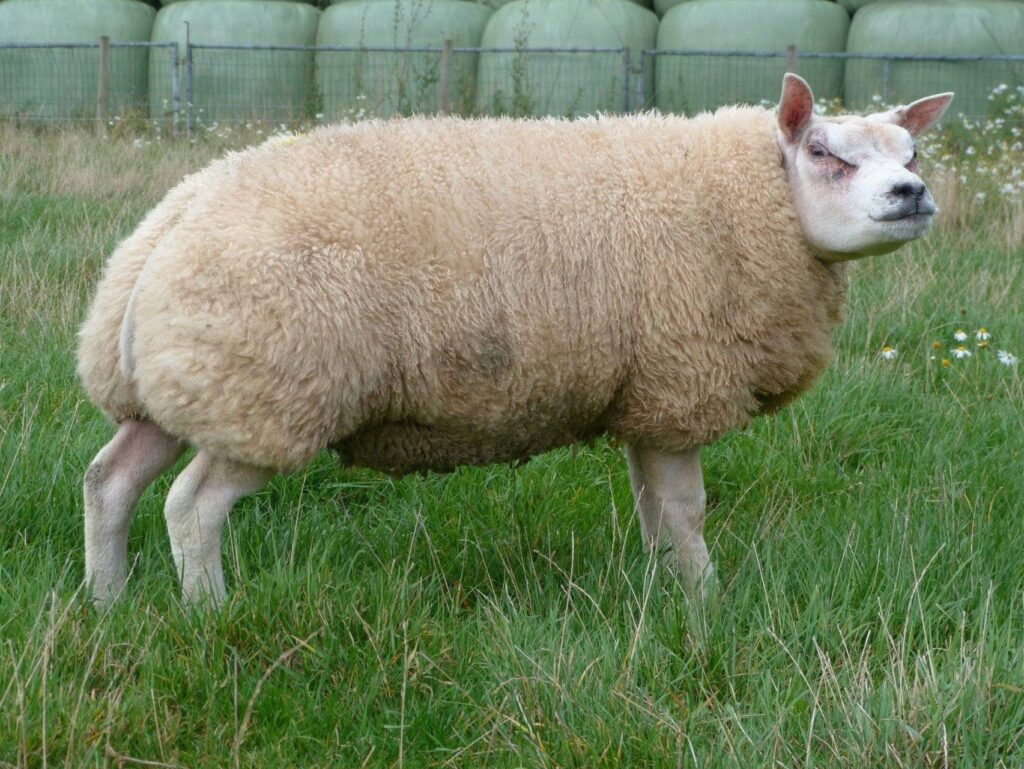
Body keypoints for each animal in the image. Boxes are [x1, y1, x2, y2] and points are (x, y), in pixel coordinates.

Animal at [78, 75, 953, 606]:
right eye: (824, 154)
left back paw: (109, 599)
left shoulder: (646, 395)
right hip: (267, 391)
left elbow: (652, 507)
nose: (912, 193)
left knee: (109, 480)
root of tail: (166, 227)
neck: (757, 203)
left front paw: (663, 587)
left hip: (181, 384)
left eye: (912, 154)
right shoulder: (680, 381)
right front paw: (707, 598)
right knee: (192, 505)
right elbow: (688, 507)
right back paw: (209, 612)